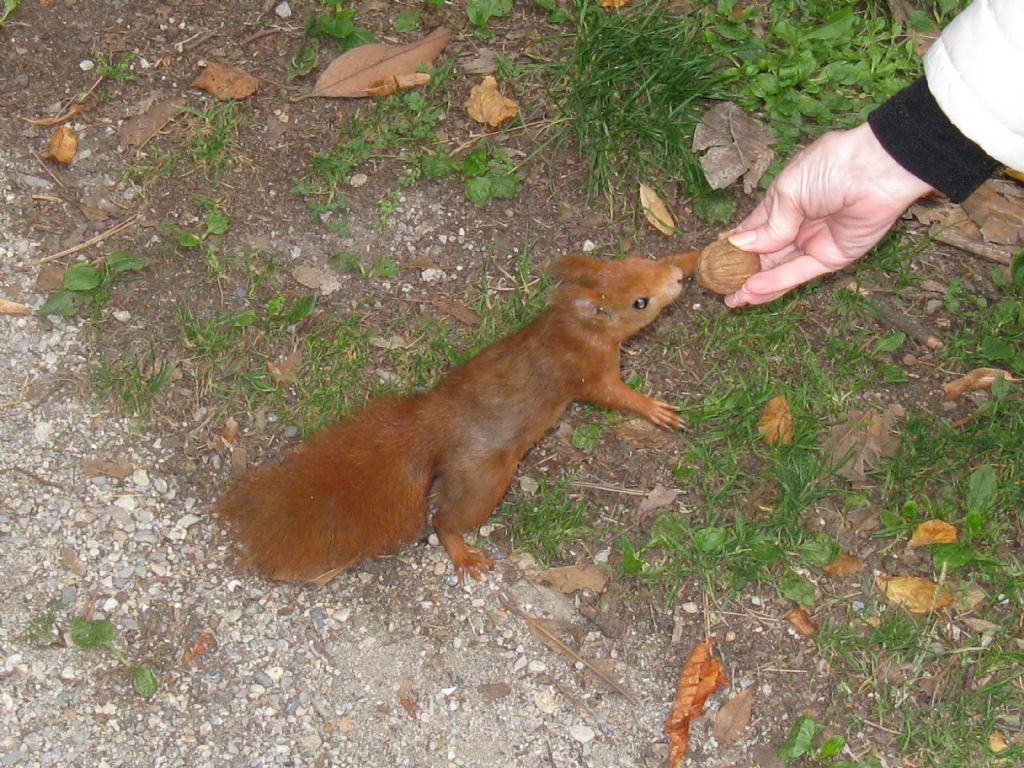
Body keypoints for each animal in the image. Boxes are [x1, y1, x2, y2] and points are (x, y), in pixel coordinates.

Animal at [215, 256, 684, 585]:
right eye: (639, 301)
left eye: (642, 259)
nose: (679, 275)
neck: (570, 323)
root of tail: (430, 430)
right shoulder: (586, 371)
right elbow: (614, 395)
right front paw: (654, 408)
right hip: (486, 480)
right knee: (444, 520)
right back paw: (461, 550)